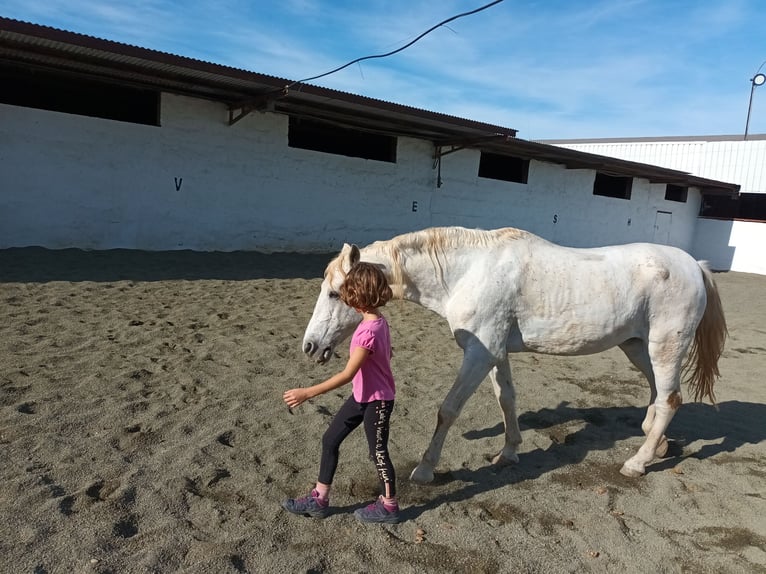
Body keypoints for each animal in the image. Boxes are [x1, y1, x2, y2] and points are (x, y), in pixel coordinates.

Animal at [302, 227, 728, 484]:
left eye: (335, 293)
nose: (309, 346)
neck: (468, 271)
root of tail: (693, 265)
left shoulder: (479, 353)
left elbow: (448, 409)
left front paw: (424, 468)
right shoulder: (495, 352)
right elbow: (506, 399)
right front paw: (508, 453)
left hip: (665, 346)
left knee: (670, 398)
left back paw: (637, 462)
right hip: (638, 347)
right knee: (660, 394)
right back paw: (656, 445)